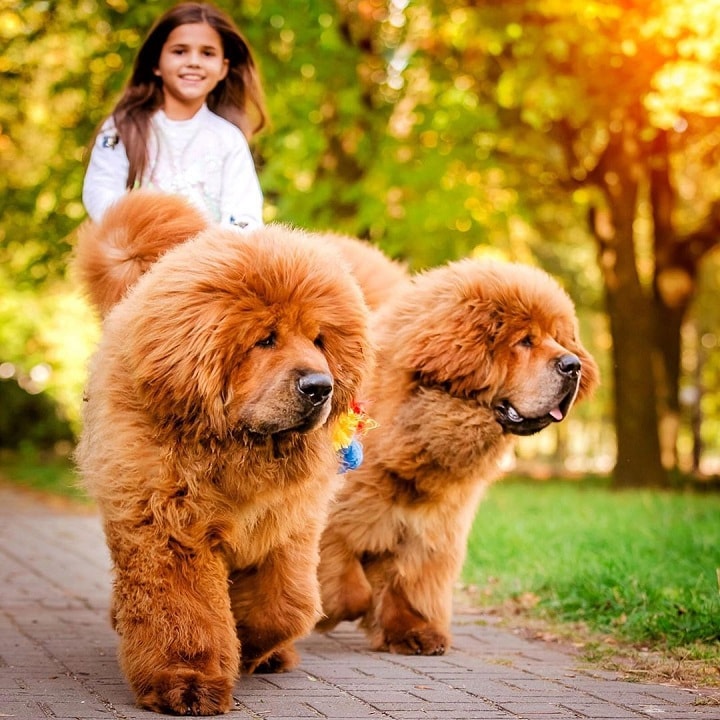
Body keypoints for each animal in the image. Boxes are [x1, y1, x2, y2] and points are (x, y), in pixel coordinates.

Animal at [74, 191, 372, 716]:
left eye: (320, 340)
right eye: (265, 339)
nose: (321, 387)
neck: (237, 451)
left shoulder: (289, 526)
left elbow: (286, 605)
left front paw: (252, 647)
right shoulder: (171, 525)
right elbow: (185, 612)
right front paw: (188, 681)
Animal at [318, 256, 600, 656]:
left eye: (558, 339)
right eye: (525, 341)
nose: (573, 364)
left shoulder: (430, 529)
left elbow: (406, 582)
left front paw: (412, 631)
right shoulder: (335, 516)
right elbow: (347, 584)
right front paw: (334, 611)